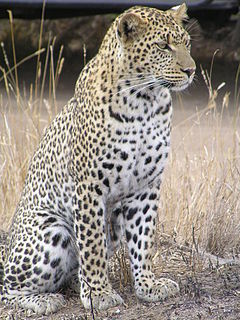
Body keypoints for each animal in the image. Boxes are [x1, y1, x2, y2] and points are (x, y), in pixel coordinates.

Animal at [0, 3, 195, 316]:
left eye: (186, 44)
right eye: (163, 46)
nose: (191, 70)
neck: (146, 102)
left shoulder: (146, 186)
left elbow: (144, 238)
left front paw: (148, 285)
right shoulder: (89, 186)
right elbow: (91, 246)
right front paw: (99, 294)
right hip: (51, 232)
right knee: (9, 286)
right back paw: (44, 300)